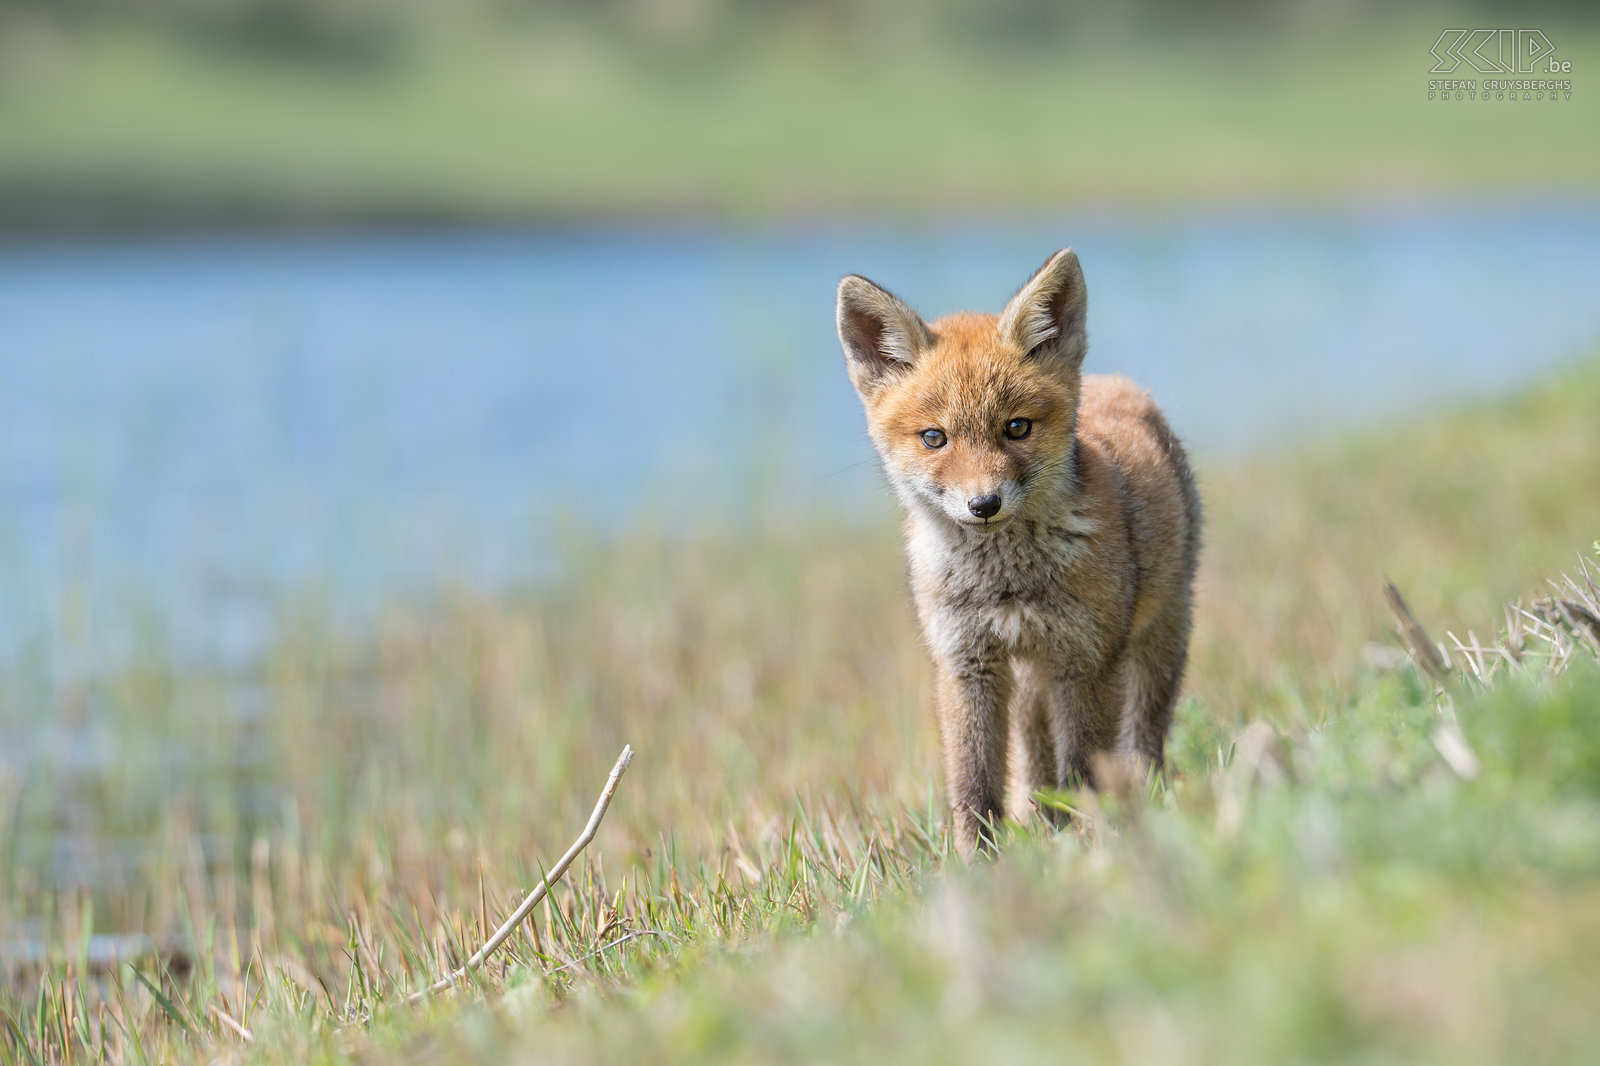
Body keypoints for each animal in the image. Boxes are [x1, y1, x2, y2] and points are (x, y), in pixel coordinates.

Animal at [838, 246, 1203, 857]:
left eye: (1016, 428)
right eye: (934, 438)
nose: (983, 503)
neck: (1006, 585)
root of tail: (1115, 382)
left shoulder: (1087, 661)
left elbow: (1084, 772)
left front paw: (1092, 849)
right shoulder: (966, 663)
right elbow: (974, 783)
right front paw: (981, 865)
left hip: (1157, 640)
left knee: (1140, 742)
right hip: (1033, 681)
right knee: (1033, 767)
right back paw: (1042, 823)